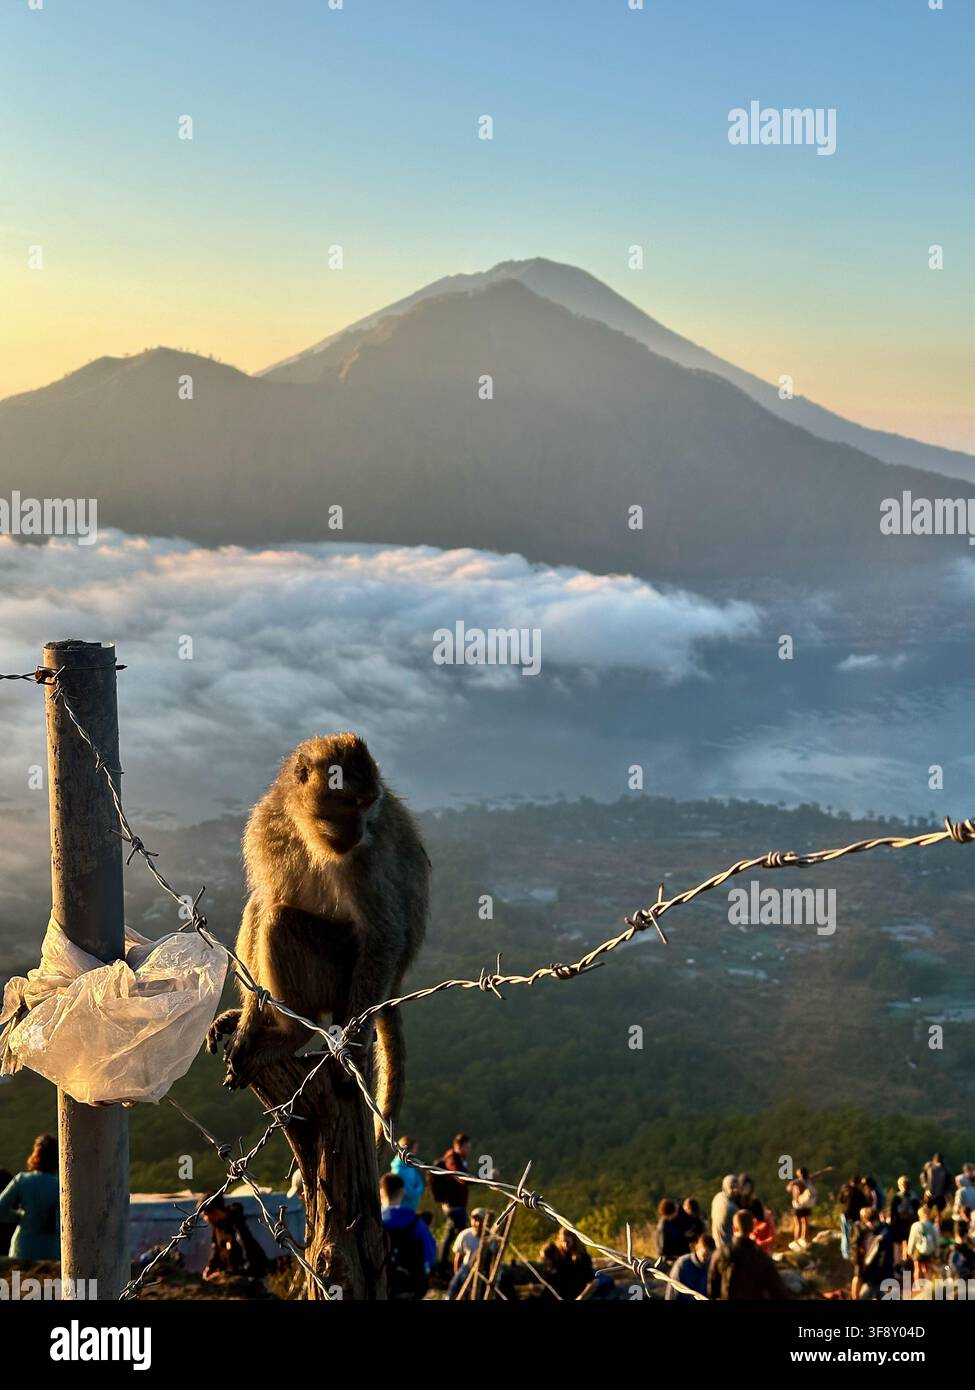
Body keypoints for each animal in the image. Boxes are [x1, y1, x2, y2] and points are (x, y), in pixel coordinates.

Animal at [207, 733, 428, 1146]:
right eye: (349, 802)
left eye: (368, 804)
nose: (358, 832)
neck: (306, 828)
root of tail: (394, 986)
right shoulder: (264, 826)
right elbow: (263, 898)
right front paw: (249, 1019)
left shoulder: (364, 858)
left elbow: (384, 933)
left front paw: (351, 1052)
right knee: (264, 907)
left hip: (339, 980)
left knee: (280, 922)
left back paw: (292, 1034)